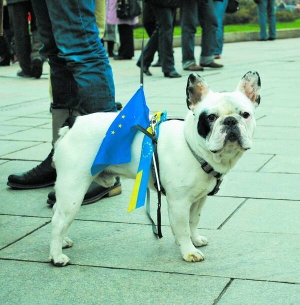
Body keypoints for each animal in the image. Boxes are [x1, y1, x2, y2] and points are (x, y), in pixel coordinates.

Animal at [48, 71, 260, 266]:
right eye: (210, 117)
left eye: (245, 115)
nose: (230, 121)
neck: (194, 147)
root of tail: (72, 124)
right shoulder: (179, 202)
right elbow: (182, 228)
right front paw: (188, 251)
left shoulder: (199, 199)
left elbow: (193, 221)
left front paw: (196, 240)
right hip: (74, 189)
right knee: (59, 221)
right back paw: (57, 256)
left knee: (57, 213)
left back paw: (61, 243)